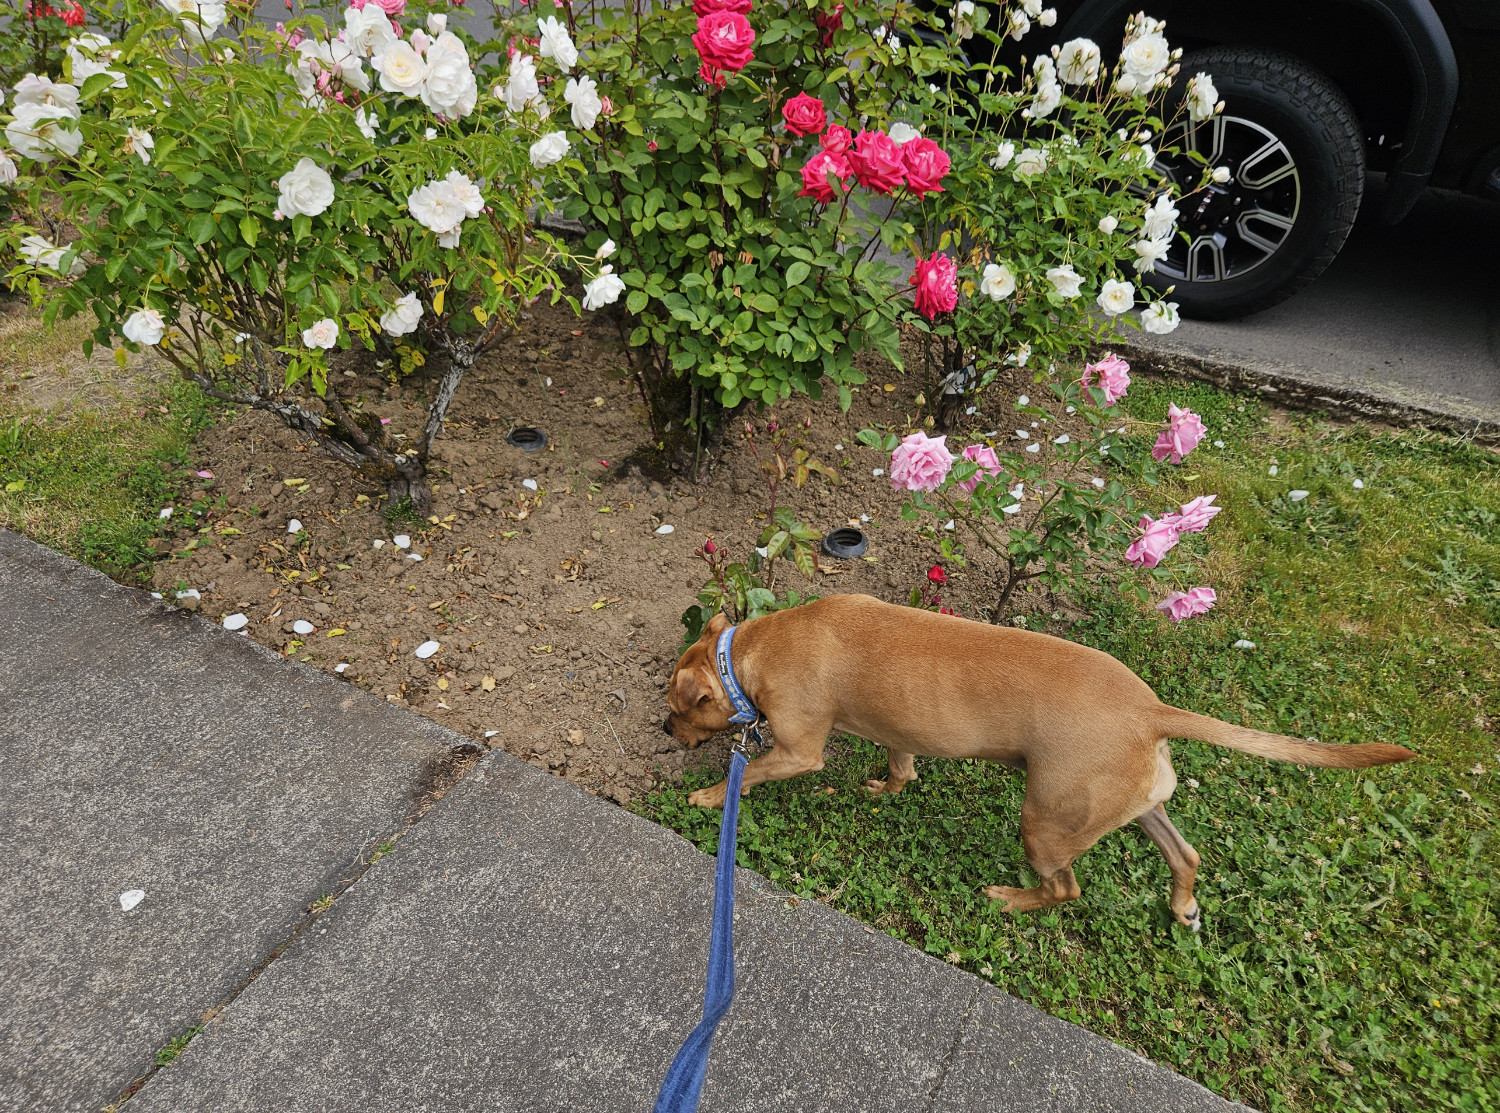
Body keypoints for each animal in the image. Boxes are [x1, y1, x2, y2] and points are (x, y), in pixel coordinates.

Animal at [663, 597, 1410, 930]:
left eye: (677, 704)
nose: (665, 726)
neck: (746, 653)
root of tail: (1151, 709)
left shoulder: (797, 752)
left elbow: (751, 772)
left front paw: (707, 797)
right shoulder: (898, 729)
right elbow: (901, 766)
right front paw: (885, 789)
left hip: (1046, 824)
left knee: (1065, 890)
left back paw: (1012, 898)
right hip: (1131, 805)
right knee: (1185, 854)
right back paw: (1183, 904)